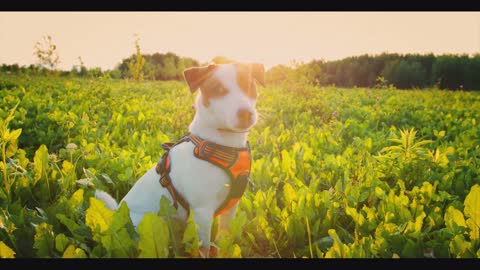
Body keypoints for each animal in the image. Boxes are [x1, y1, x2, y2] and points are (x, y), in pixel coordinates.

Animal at [95, 61, 264, 258]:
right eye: (218, 89)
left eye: (248, 85)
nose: (245, 113)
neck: (221, 145)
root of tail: (116, 213)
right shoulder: (202, 212)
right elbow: (204, 248)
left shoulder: (231, 208)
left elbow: (225, 238)